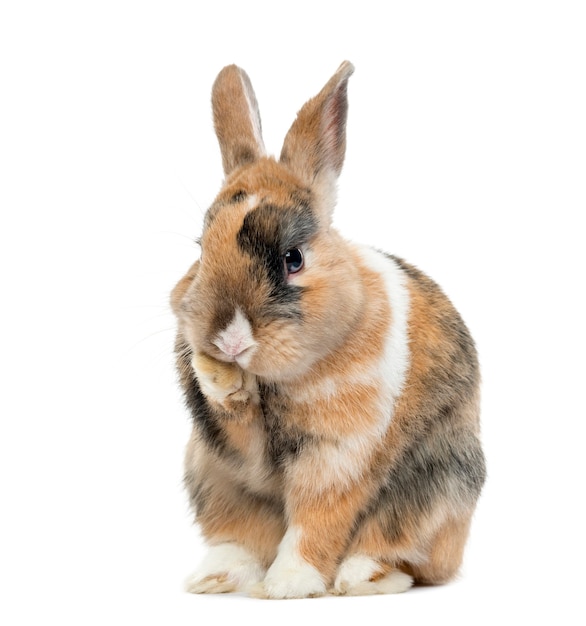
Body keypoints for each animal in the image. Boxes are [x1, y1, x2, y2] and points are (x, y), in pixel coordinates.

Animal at [171, 61, 486, 596]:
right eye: (201, 247)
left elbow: (314, 523)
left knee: (409, 556)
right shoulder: (236, 449)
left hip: (436, 487)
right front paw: (218, 378)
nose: (229, 340)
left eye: (293, 258)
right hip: (210, 477)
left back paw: (362, 577)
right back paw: (214, 577)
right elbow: (239, 428)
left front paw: (287, 586)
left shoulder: (338, 459)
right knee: (241, 539)